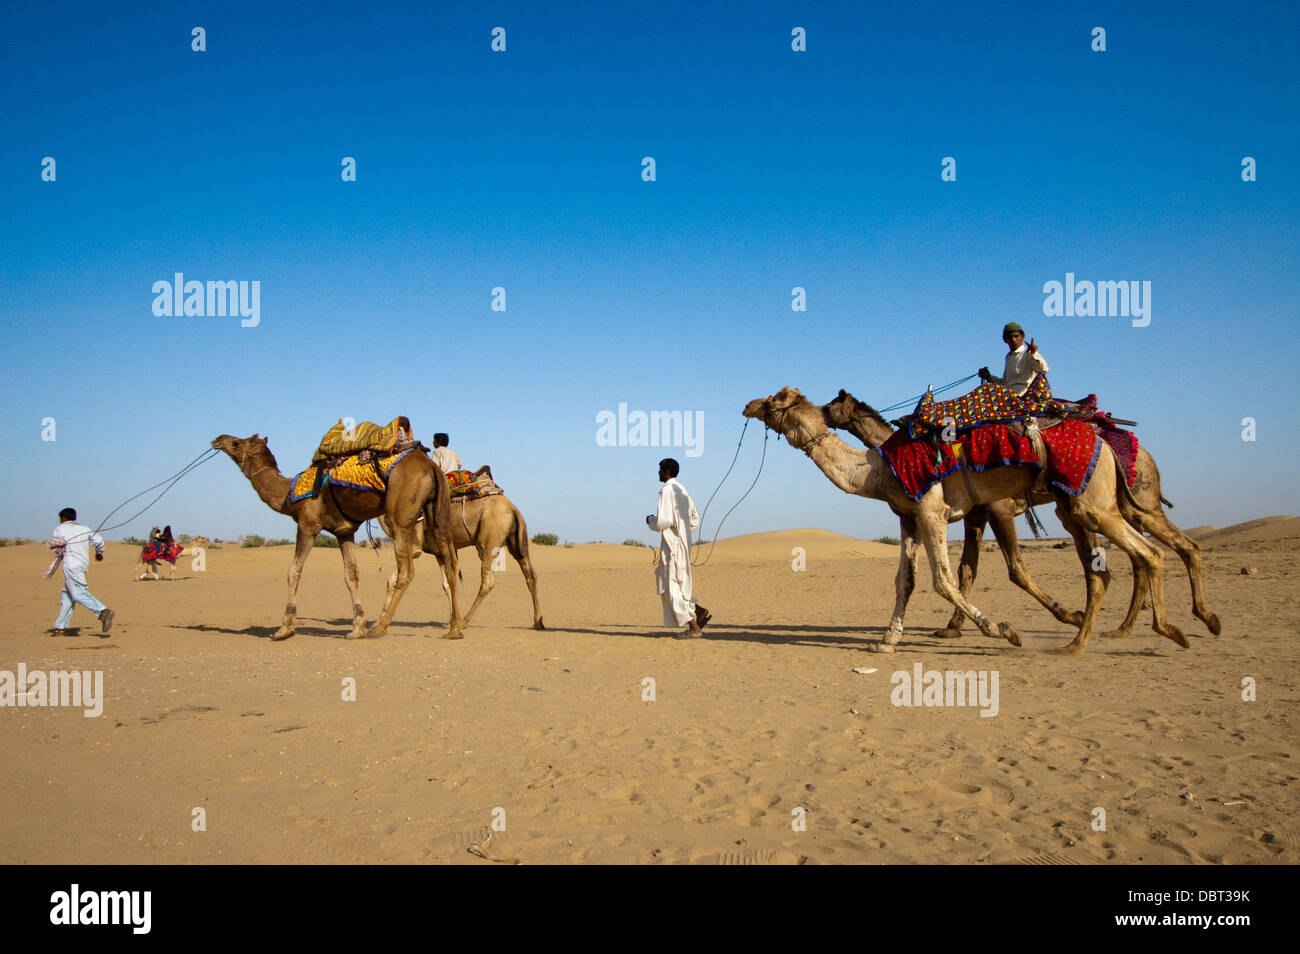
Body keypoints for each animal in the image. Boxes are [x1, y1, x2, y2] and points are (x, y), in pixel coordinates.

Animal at [208, 436, 462, 639]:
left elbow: (293, 571)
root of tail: (431, 467)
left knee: (407, 572)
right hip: (438, 516)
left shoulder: (308, 524)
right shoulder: (344, 531)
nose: (218, 439)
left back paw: (380, 628)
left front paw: (284, 629)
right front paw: (356, 628)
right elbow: (351, 575)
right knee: (451, 567)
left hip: (401, 518)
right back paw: (454, 629)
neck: (288, 495)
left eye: (237, 442)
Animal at [379, 488, 540, 631]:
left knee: (487, 582)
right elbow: (446, 584)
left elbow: (392, 579)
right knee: (530, 574)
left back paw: (464, 622)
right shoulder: (438, 551)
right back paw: (538, 622)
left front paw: (381, 619)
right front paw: (451, 620)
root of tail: (513, 509)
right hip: (517, 542)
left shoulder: (414, 545)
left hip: (489, 542)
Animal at [743, 389, 1190, 657]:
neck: (877, 468)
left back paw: (1102, 637)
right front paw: (887, 641)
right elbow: (906, 581)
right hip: (1089, 503)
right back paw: (1157, 630)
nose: (748, 404)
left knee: (1144, 555)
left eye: (776, 399)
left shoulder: (935, 511)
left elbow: (945, 579)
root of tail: (1106, 442)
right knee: (1143, 556)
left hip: (1091, 501)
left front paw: (1003, 629)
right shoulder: (908, 517)